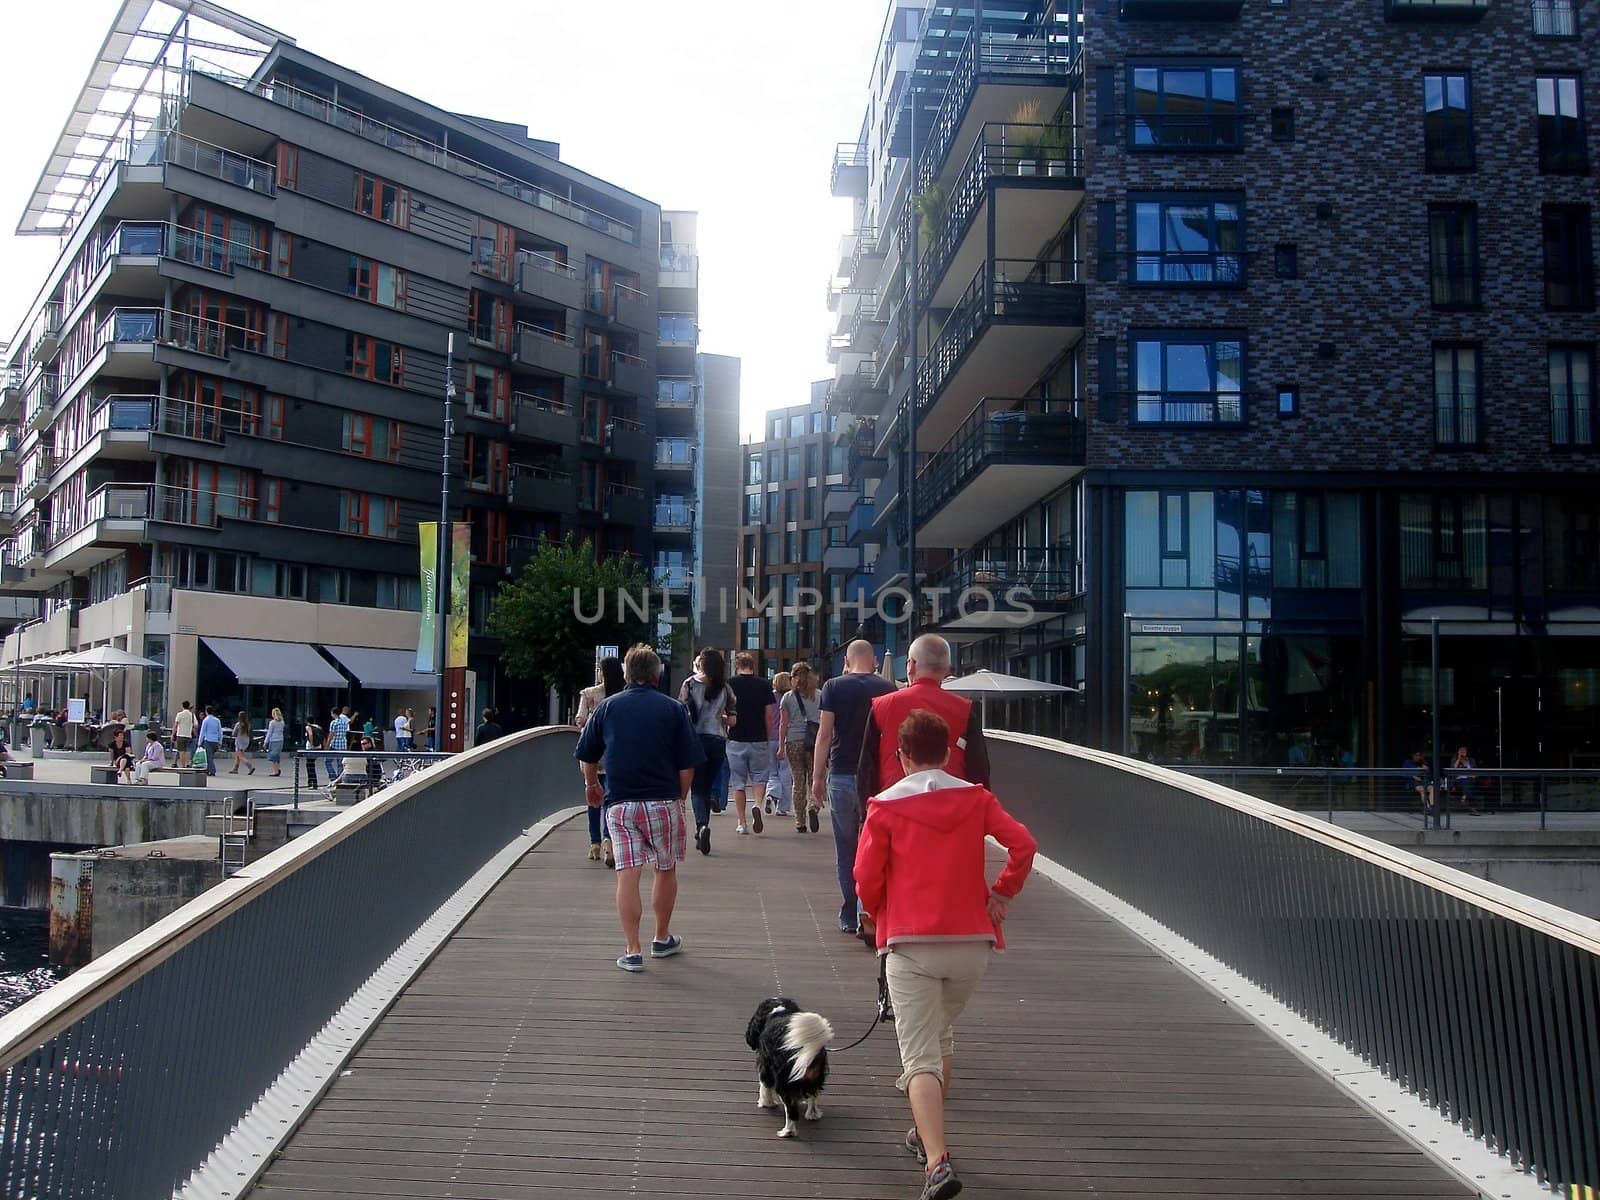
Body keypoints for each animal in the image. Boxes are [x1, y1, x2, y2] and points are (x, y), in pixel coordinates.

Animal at [742, 998, 832, 1139]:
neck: (778, 1011)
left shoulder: (766, 1066)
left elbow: (764, 1086)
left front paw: (766, 1103)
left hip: (783, 1082)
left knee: (791, 1111)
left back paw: (787, 1131)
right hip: (815, 1075)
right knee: (813, 1095)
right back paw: (813, 1114)